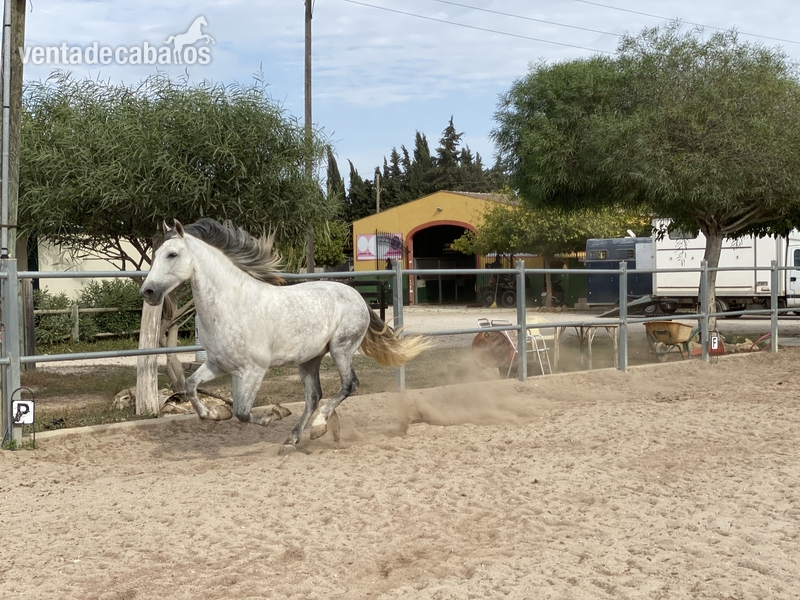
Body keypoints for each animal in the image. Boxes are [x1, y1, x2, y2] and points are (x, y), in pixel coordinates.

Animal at [140, 218, 432, 454]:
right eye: (155, 255)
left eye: (172, 254)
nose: (148, 292)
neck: (233, 304)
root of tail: (356, 295)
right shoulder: (217, 364)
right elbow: (191, 386)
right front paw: (216, 413)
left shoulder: (254, 370)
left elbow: (242, 412)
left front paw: (275, 414)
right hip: (309, 359)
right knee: (314, 396)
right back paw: (294, 439)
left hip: (341, 349)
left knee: (349, 385)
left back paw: (318, 426)